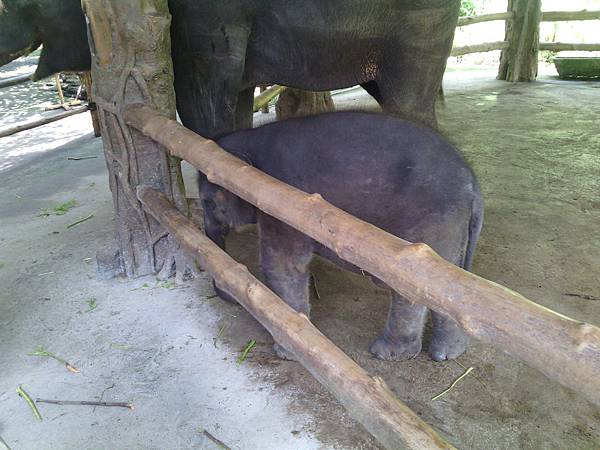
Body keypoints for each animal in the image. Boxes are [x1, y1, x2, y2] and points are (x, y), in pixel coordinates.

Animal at [202, 112, 482, 362]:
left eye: (208, 202)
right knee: (449, 288)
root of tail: (473, 184)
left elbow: (283, 265)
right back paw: (447, 353)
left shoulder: (282, 202)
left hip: (431, 220)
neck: (251, 138)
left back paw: (388, 353)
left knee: (410, 289)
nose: (229, 296)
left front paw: (286, 352)